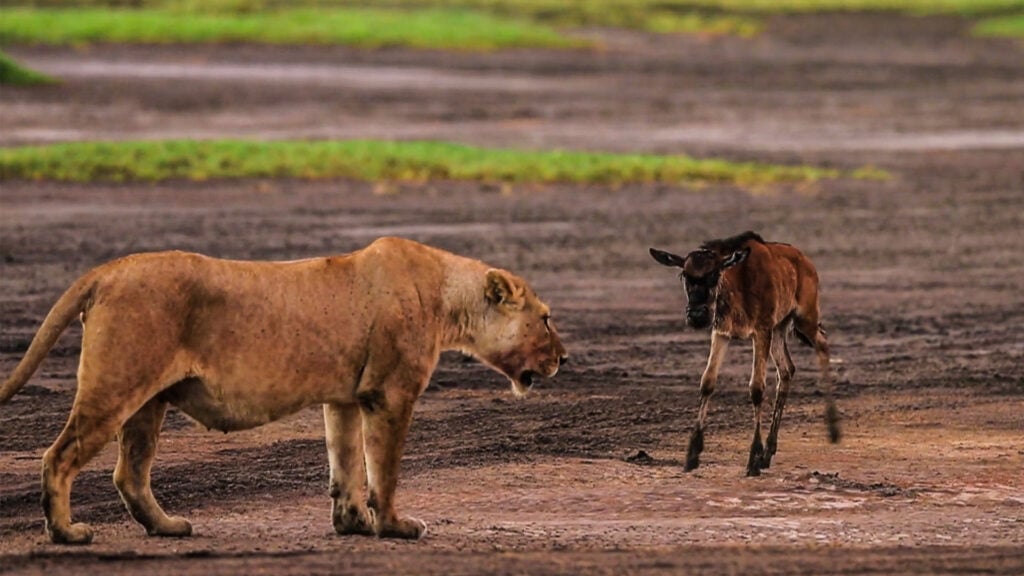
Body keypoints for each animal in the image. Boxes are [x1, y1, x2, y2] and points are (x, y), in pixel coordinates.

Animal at [0, 236, 568, 545]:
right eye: (545, 319)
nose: (564, 358)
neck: (449, 299)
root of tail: (107, 270)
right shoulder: (389, 394)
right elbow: (383, 469)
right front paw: (394, 525)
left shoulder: (344, 397)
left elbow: (346, 463)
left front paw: (351, 522)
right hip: (116, 385)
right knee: (59, 457)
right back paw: (67, 533)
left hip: (147, 401)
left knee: (129, 473)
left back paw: (166, 527)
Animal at [650, 231, 839, 476]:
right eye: (684, 275)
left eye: (715, 274)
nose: (697, 315)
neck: (737, 285)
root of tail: (806, 262)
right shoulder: (721, 332)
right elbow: (707, 382)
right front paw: (692, 455)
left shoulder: (760, 332)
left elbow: (756, 388)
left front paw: (753, 460)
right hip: (779, 329)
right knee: (786, 370)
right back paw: (769, 452)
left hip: (805, 318)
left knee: (822, 346)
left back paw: (833, 430)